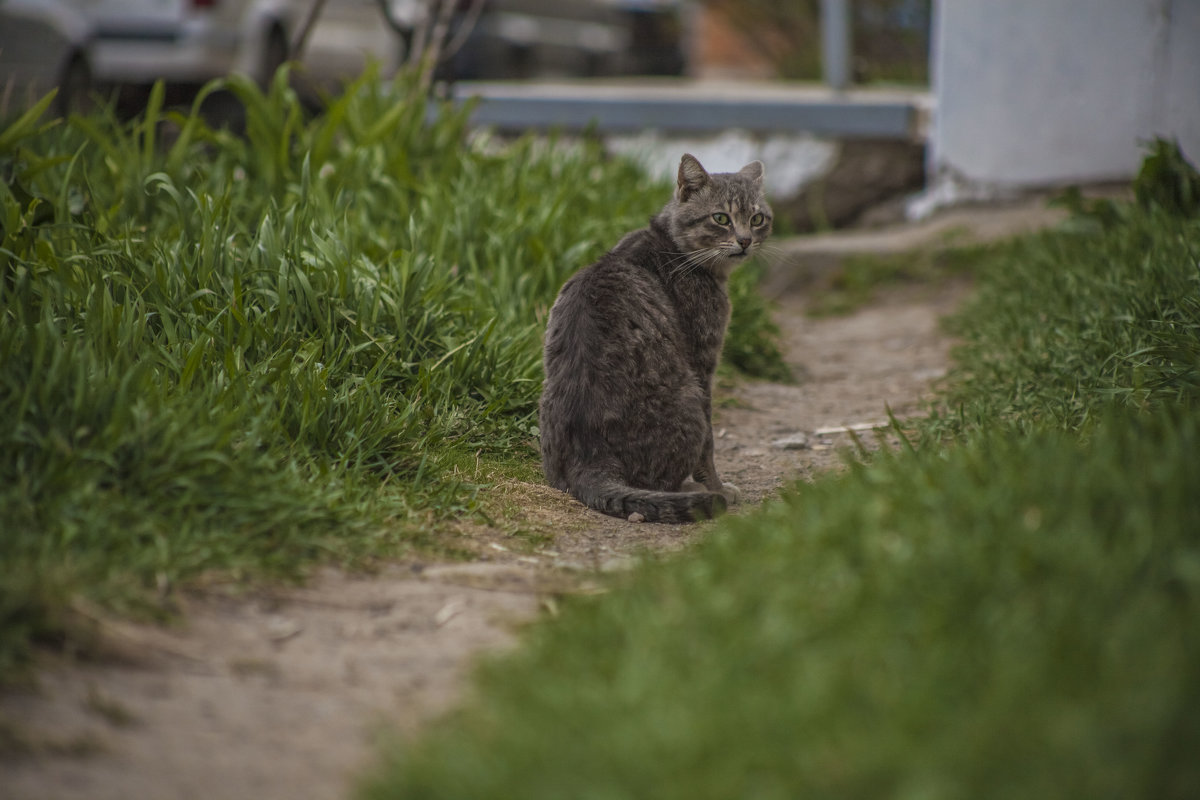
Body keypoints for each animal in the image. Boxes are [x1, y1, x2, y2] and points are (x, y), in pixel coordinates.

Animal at [540, 153, 772, 522]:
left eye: (757, 218)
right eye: (721, 218)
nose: (746, 240)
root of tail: (589, 461)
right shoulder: (704, 363)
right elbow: (709, 451)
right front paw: (718, 488)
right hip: (690, 396)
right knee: (662, 480)